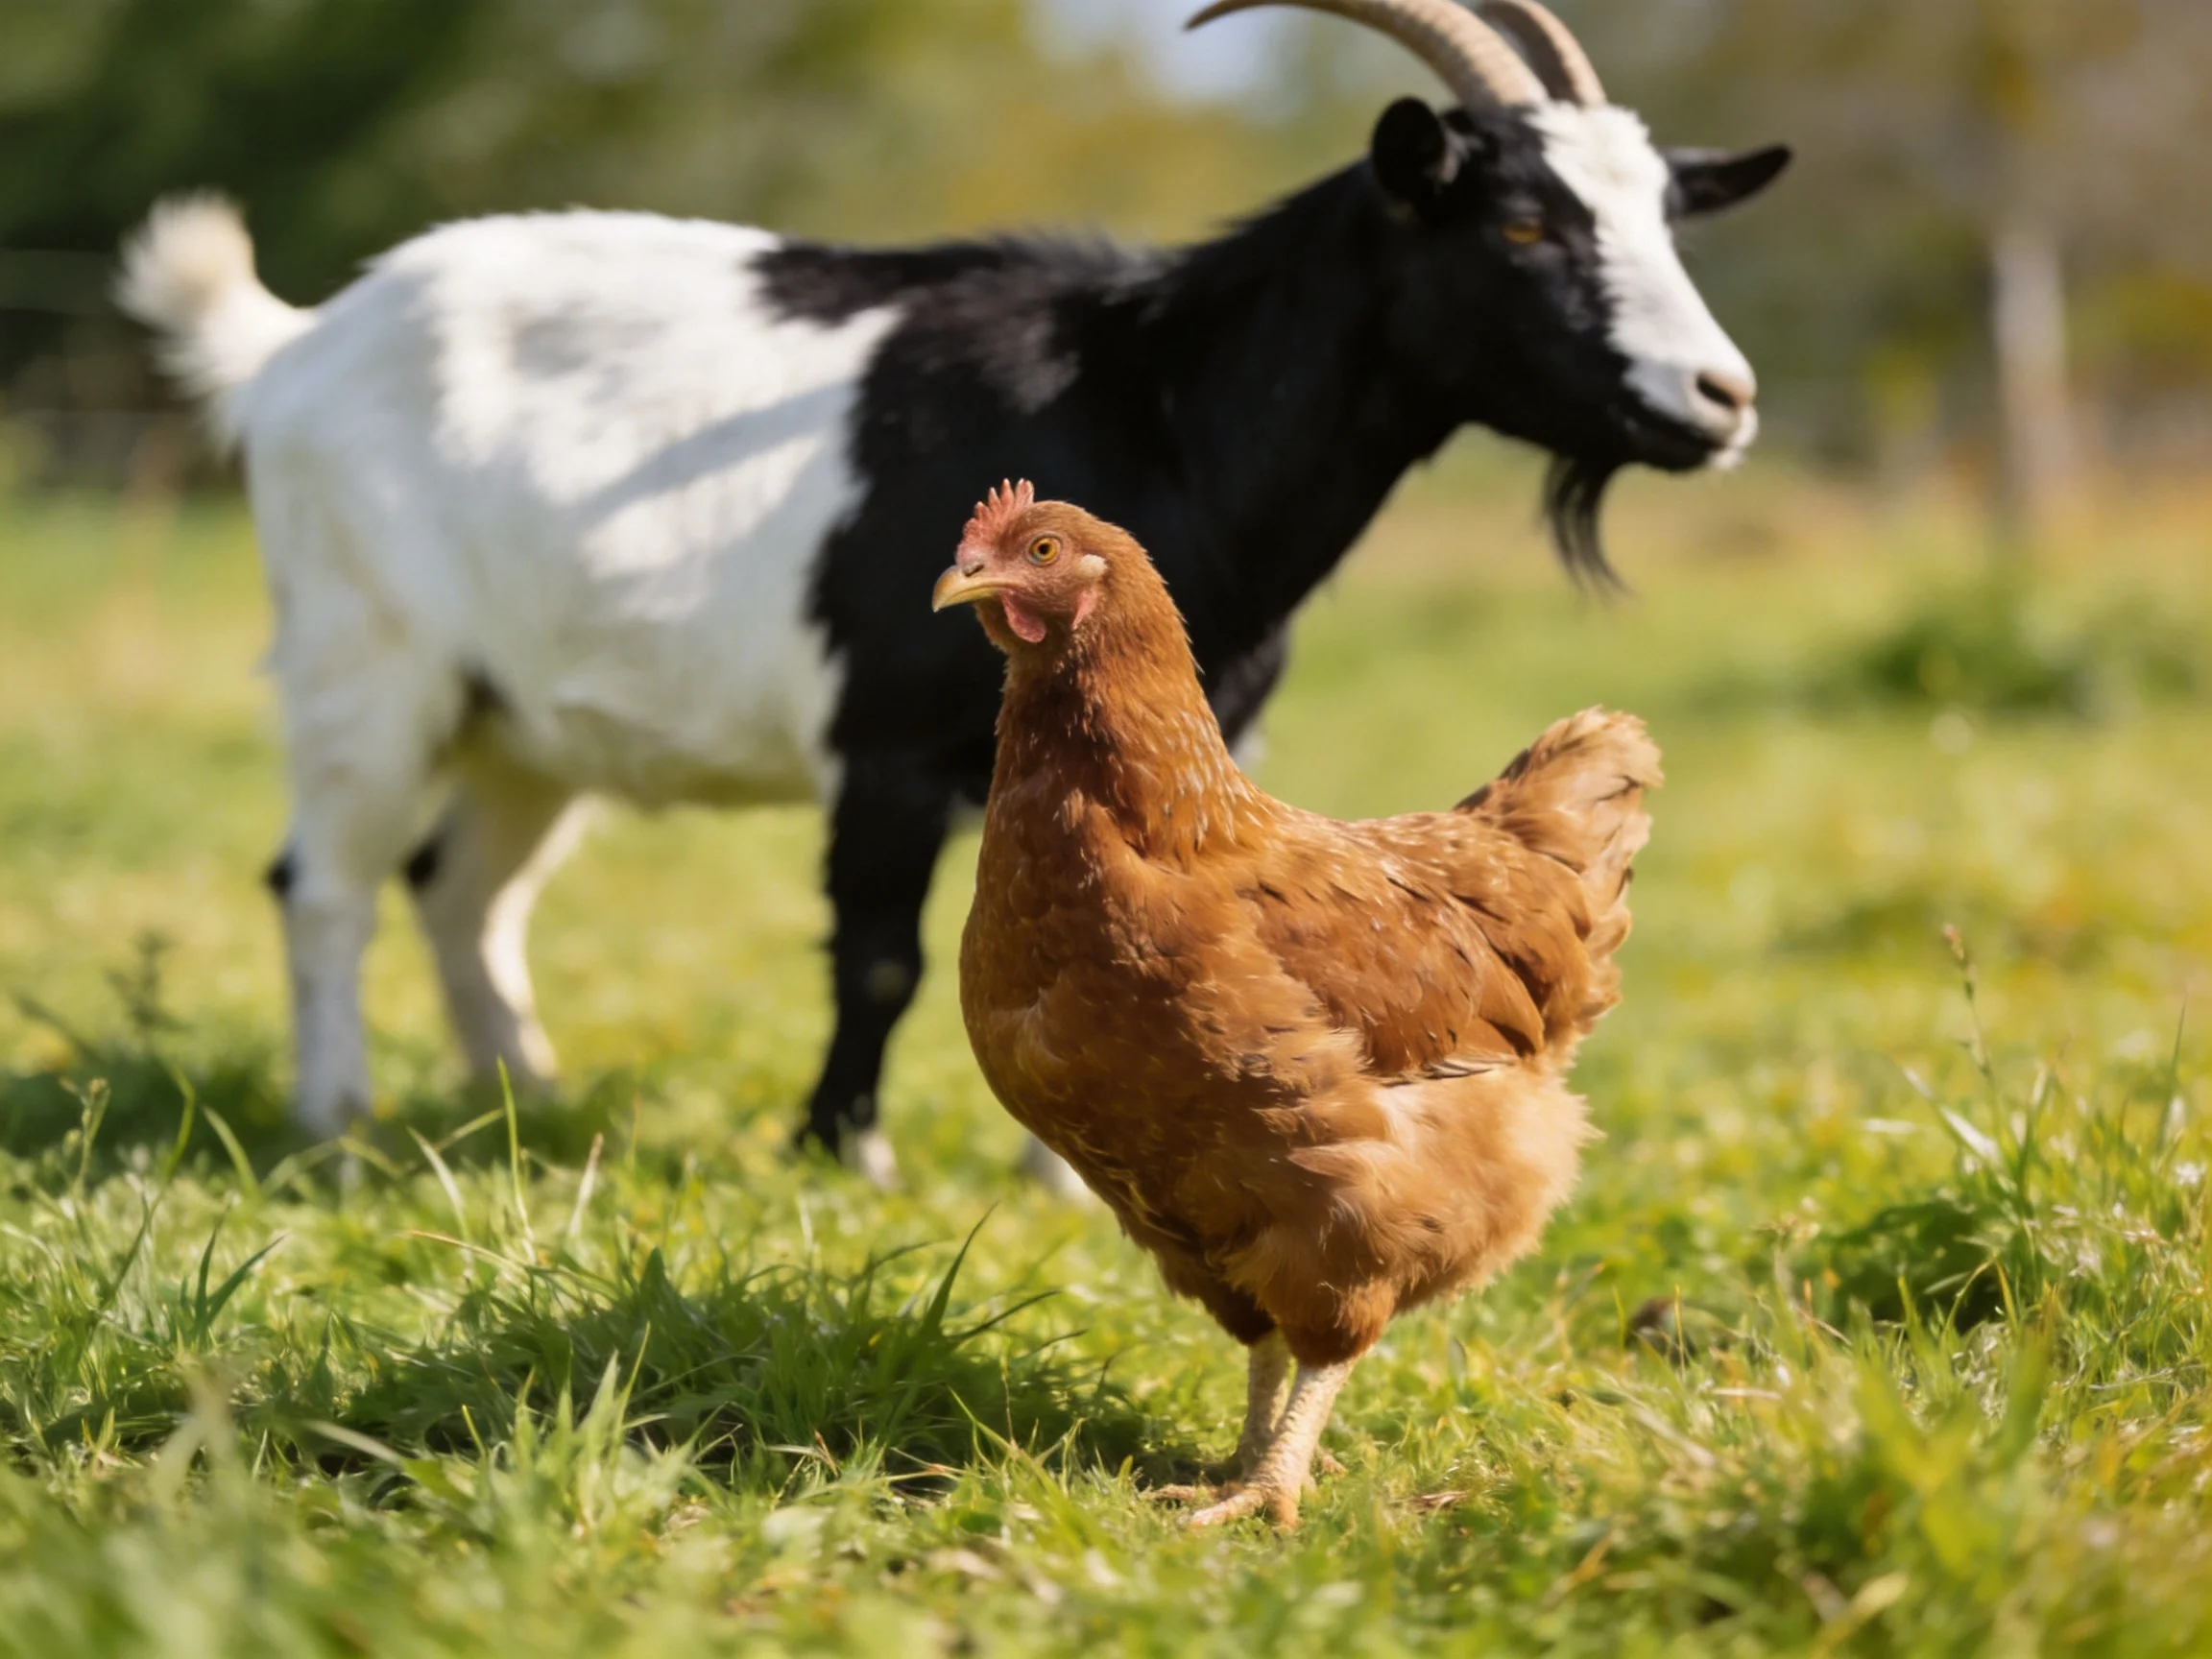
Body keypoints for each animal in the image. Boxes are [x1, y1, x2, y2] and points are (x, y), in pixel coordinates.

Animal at [120, 0, 1787, 1186]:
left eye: (1665, 218)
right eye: (1521, 221)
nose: (1721, 397)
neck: (1152, 398)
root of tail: (294, 346)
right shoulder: (883, 735)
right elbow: (882, 953)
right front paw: (839, 1152)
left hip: (519, 718)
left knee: (464, 888)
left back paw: (525, 1104)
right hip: (368, 659)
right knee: (325, 883)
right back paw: (338, 1127)